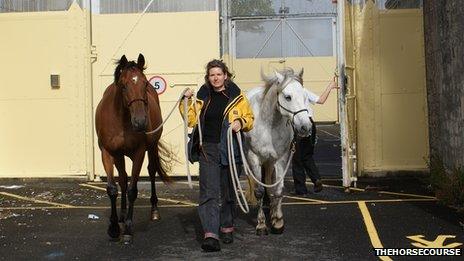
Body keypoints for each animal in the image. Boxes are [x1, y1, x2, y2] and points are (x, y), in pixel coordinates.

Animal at [95, 53, 171, 243]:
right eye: (123, 85)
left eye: (145, 84)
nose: (140, 122)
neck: (121, 119)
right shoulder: (107, 153)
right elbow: (113, 188)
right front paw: (114, 227)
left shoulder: (139, 153)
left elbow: (132, 190)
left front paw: (128, 229)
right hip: (119, 156)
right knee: (122, 178)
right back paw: (121, 215)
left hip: (151, 148)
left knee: (151, 171)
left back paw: (154, 211)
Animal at [243, 67, 312, 234]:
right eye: (288, 97)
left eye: (305, 96)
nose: (305, 127)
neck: (268, 125)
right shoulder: (254, 158)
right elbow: (259, 191)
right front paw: (261, 224)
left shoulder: (281, 158)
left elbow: (278, 189)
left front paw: (278, 221)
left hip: (270, 161)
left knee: (270, 185)